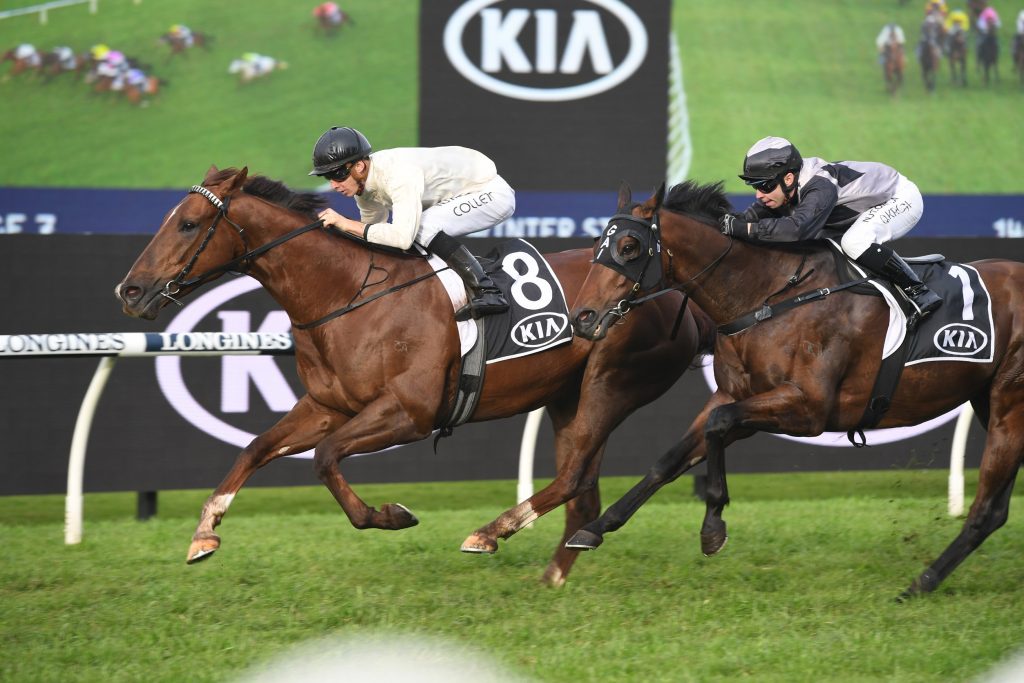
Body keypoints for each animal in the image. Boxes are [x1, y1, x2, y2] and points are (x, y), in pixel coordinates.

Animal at [114, 166, 716, 586]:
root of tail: (674, 294)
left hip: (609, 386)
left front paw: (390, 514)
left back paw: (489, 534)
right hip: (567, 398)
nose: (130, 291)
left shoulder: (410, 411)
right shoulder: (328, 406)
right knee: (582, 493)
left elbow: (326, 458)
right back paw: (551, 576)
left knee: (573, 481)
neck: (348, 294)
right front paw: (203, 533)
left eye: (188, 223)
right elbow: (256, 448)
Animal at [568, 180, 1024, 599]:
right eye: (597, 245)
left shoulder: (807, 409)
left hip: (1009, 406)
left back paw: (920, 584)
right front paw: (593, 528)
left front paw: (713, 526)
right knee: (997, 509)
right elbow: (669, 460)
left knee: (985, 509)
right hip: (991, 404)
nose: (582, 318)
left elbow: (718, 425)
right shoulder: (737, 395)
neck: (768, 295)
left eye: (628, 246)